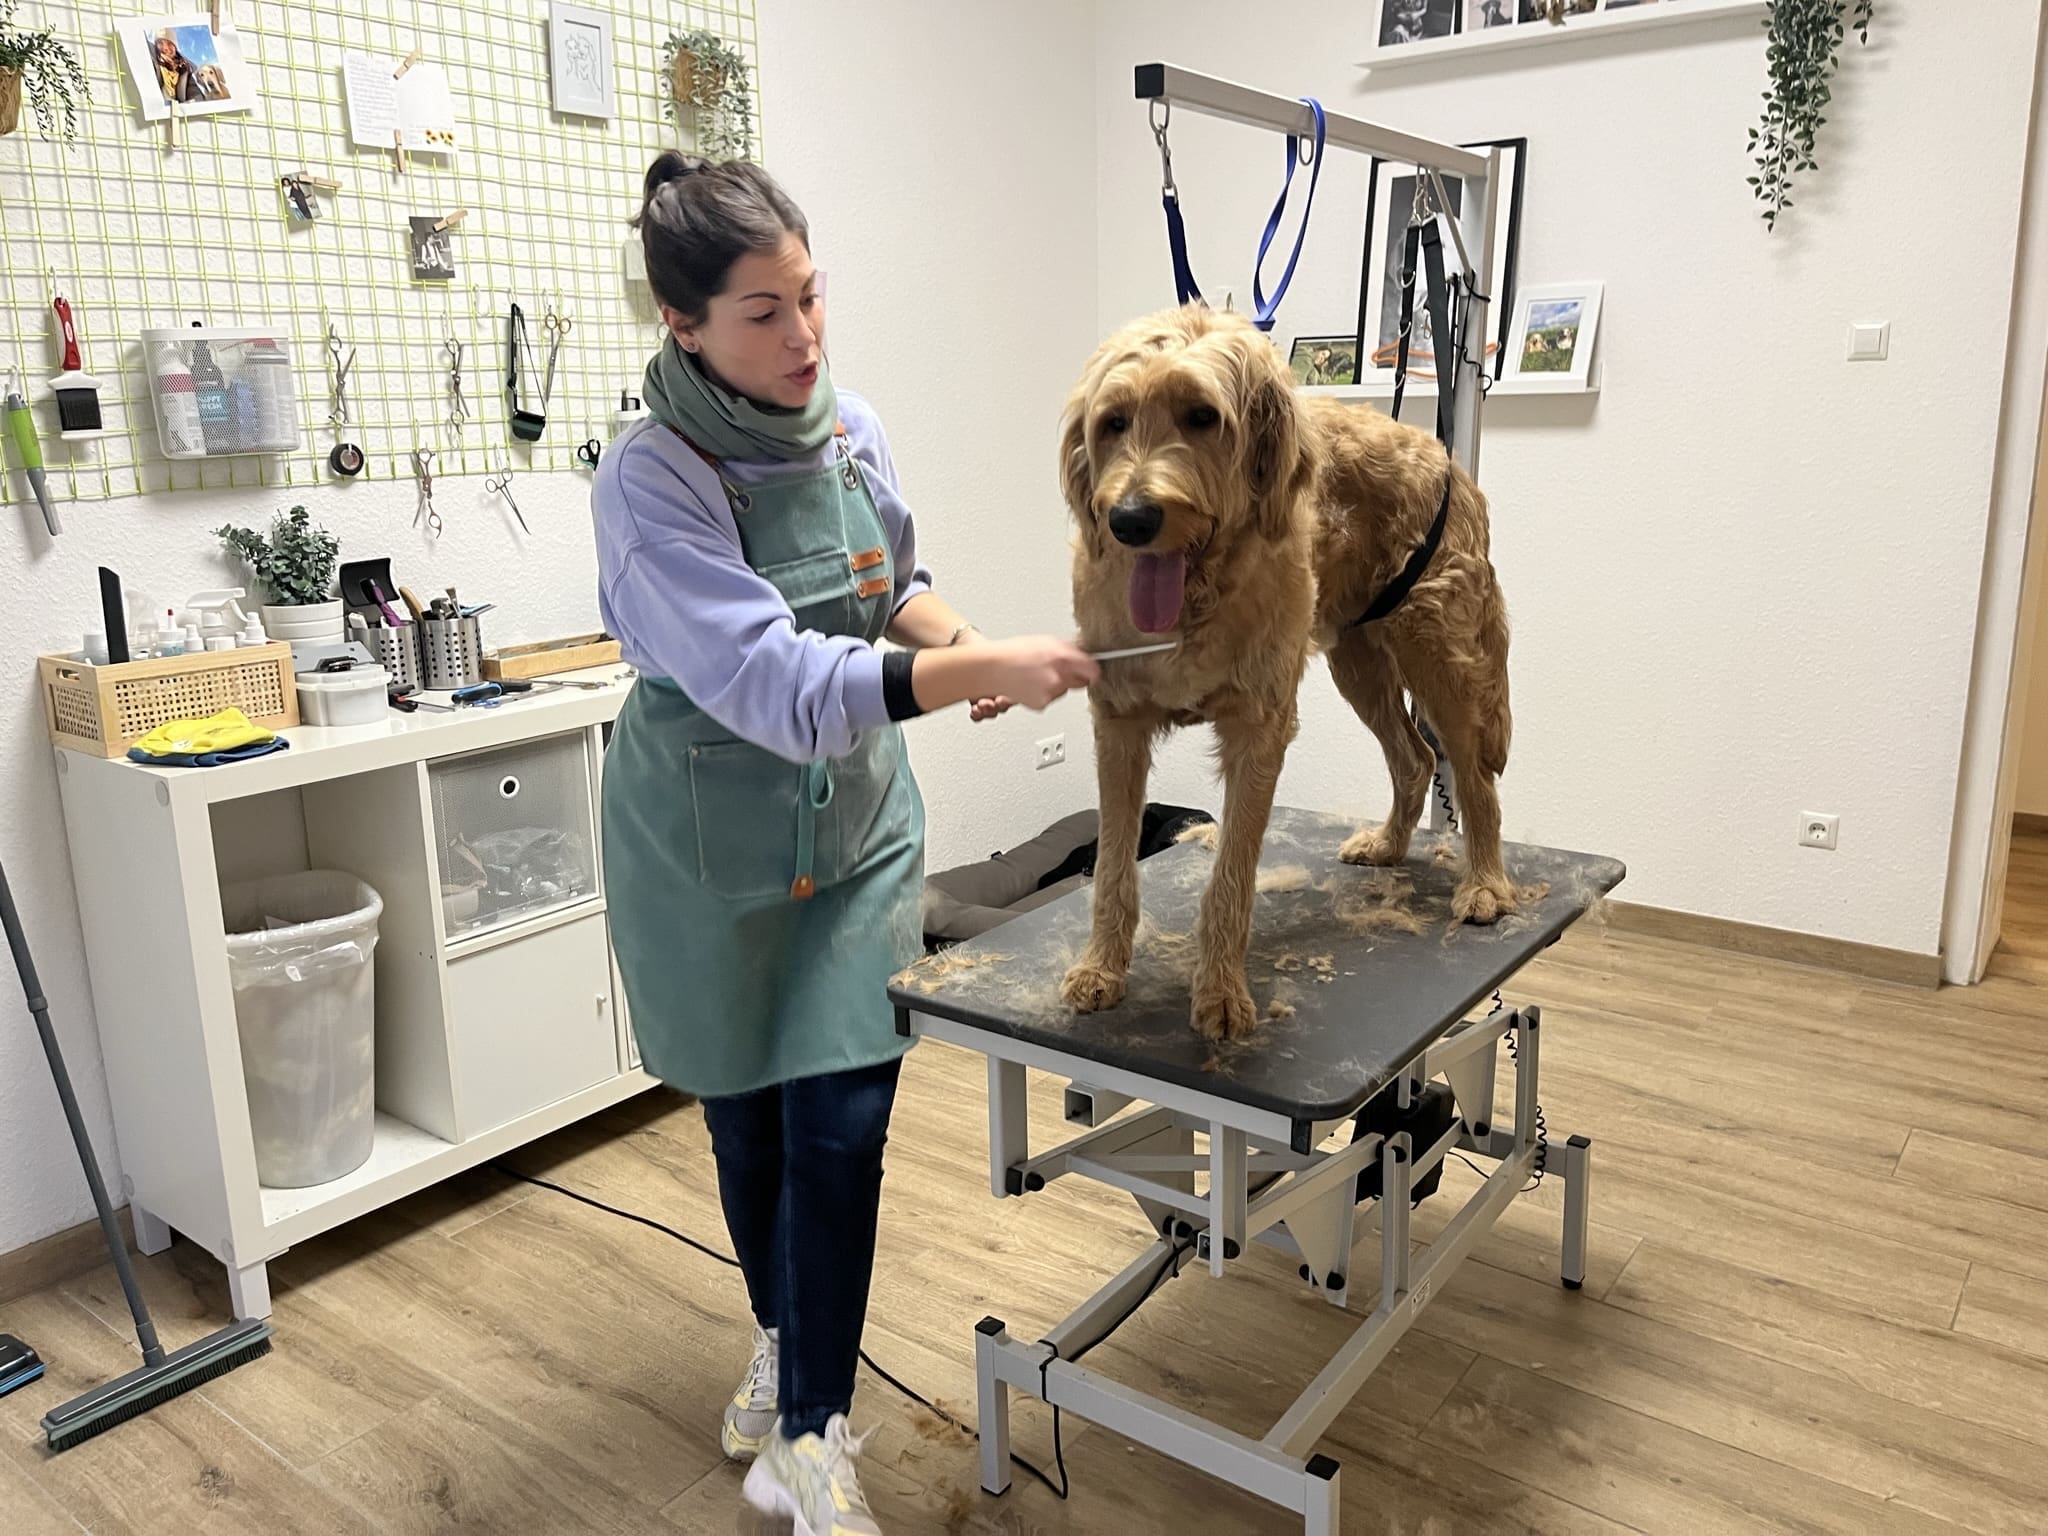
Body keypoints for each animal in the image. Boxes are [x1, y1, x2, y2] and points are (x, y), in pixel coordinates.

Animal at [1056, 303, 1523, 1048]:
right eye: (1114, 421)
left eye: (1201, 416)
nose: (1130, 519)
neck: (1197, 594)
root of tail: (1450, 461)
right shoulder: (1118, 724)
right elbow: (1112, 868)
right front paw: (1101, 967)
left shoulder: (1259, 730)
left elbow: (1231, 875)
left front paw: (1220, 991)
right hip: (1358, 664)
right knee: (1415, 758)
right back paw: (1390, 844)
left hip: (1438, 656)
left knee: (1474, 780)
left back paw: (1484, 885)